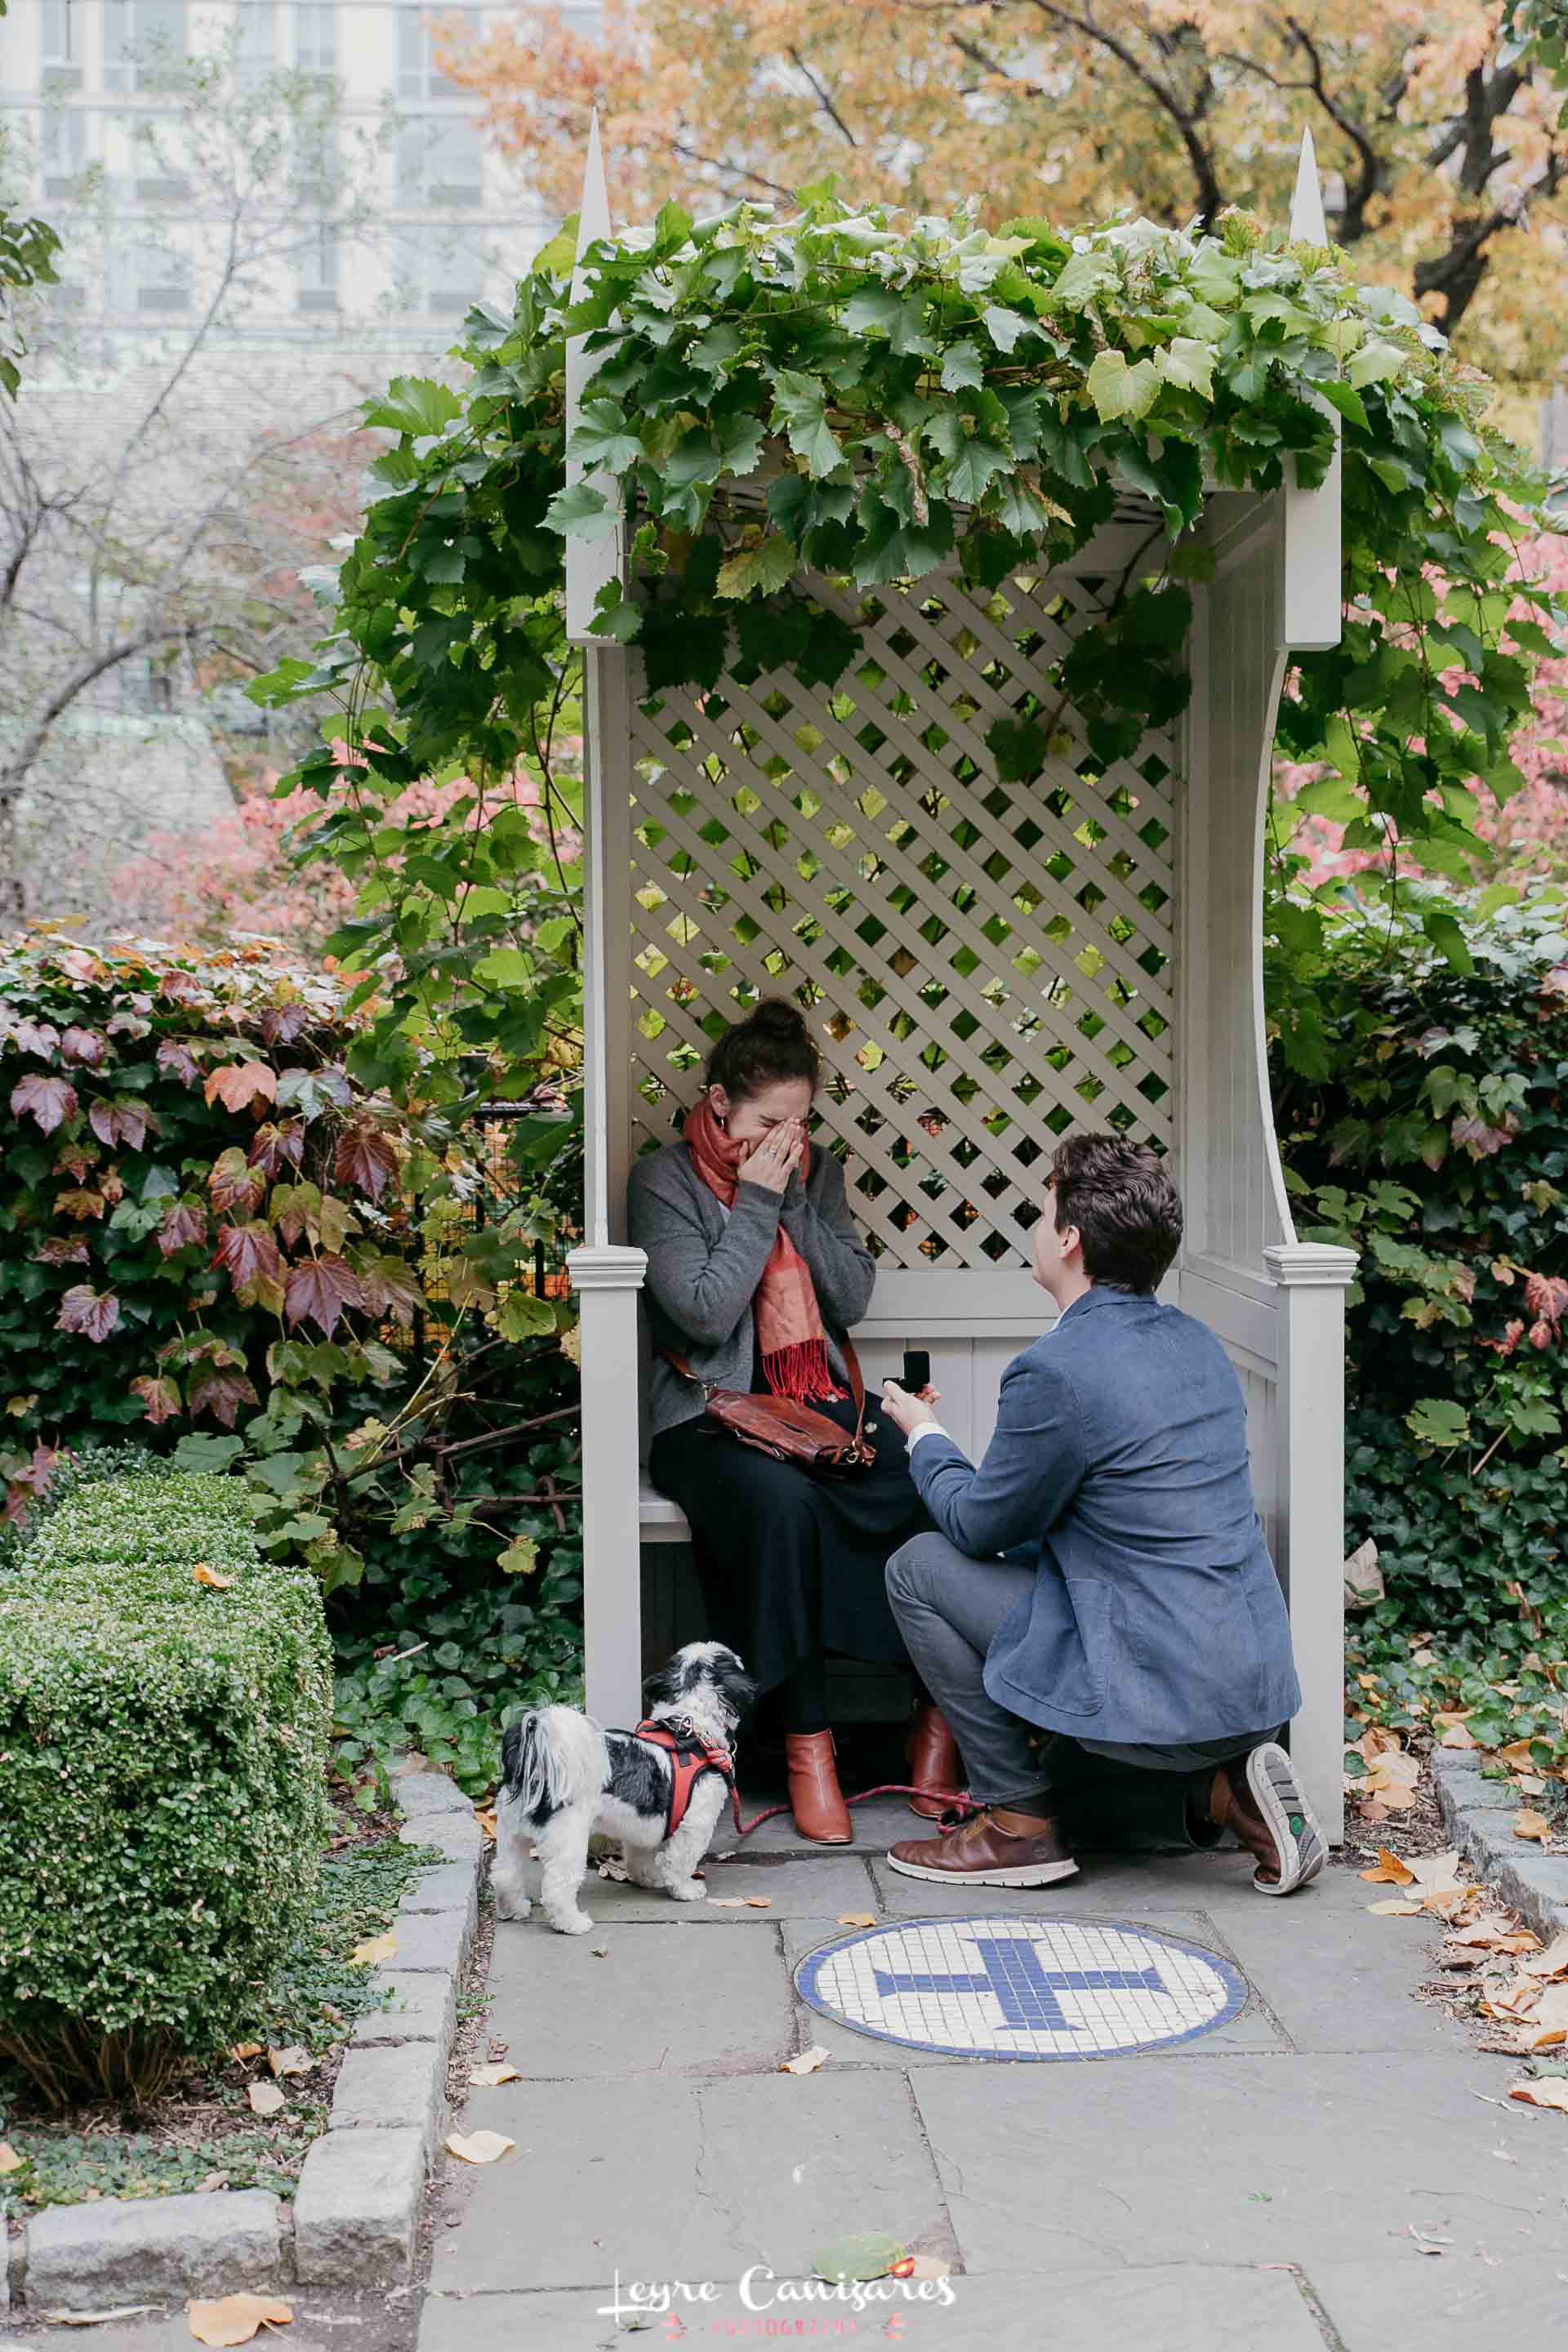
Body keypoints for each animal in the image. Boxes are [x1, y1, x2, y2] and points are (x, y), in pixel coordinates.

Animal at [493, 1646, 756, 1938]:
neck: (691, 1730)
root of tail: (540, 1764)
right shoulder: (695, 1824)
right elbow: (679, 1861)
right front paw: (685, 1890)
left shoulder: (641, 1825)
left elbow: (640, 1856)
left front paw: (648, 1878)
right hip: (567, 1837)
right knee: (557, 1886)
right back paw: (572, 1923)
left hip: (511, 1833)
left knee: (505, 1873)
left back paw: (513, 1908)